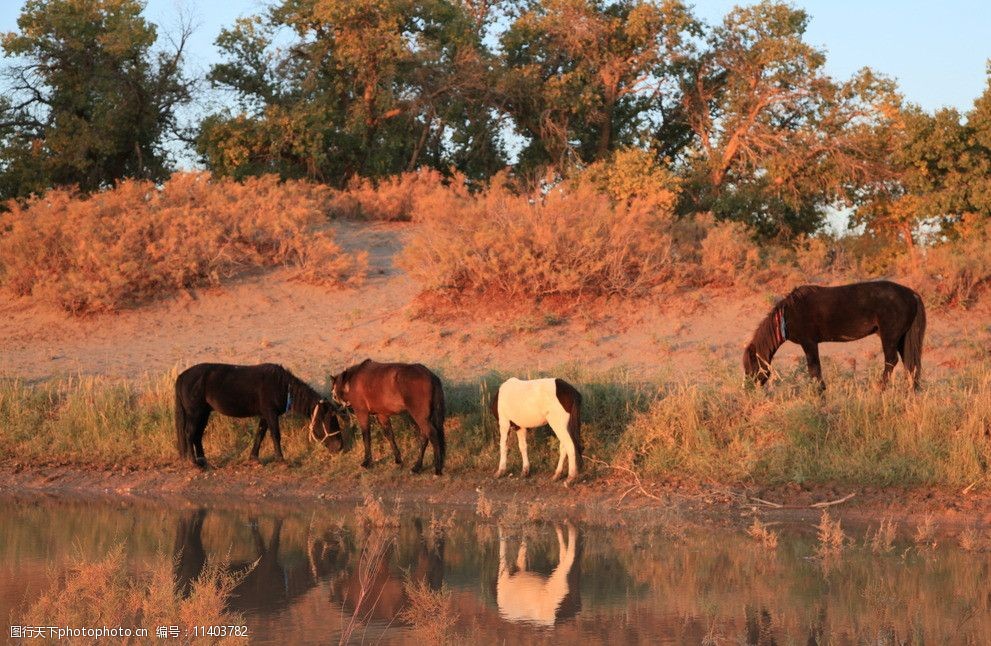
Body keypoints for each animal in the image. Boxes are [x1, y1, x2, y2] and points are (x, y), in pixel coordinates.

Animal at [170, 364, 340, 466]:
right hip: (195, 413)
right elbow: (275, 435)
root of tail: (182, 376)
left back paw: (203, 461)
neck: (283, 386)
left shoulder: (265, 415)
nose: (339, 447)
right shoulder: (271, 414)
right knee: (189, 433)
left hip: (203, 413)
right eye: (329, 420)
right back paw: (194, 463)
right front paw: (281, 460)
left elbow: (260, 434)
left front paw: (254, 458)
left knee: (197, 436)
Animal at [744, 278, 928, 390]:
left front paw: (821, 393)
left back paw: (879, 389)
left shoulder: (809, 343)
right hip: (902, 338)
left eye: (750, 366)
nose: (748, 389)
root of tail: (912, 294)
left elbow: (814, 369)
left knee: (891, 361)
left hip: (890, 336)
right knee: (910, 364)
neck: (787, 315)